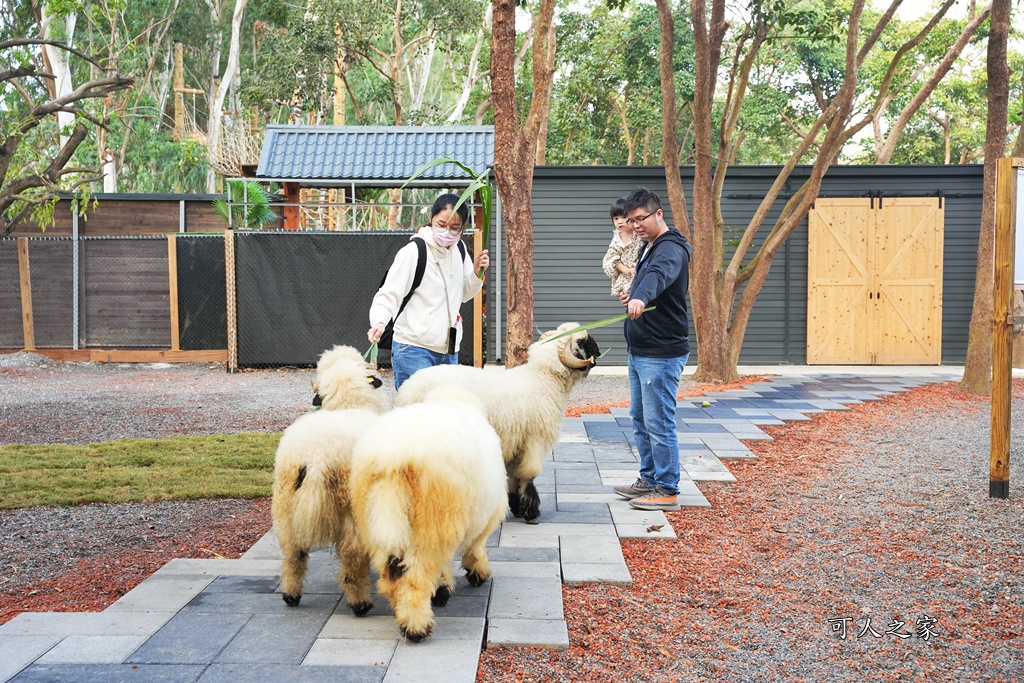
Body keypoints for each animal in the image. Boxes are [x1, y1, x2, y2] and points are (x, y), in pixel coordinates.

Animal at [270, 344, 385, 610]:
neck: (351, 406)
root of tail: (315, 457)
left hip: (285, 505)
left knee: (293, 554)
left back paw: (291, 595)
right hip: (350, 508)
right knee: (352, 555)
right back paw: (360, 604)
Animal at [393, 323, 598, 528]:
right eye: (581, 342)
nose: (598, 353)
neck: (543, 379)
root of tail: (407, 391)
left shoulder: (515, 442)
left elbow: (513, 477)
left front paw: (516, 507)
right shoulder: (535, 440)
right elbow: (528, 476)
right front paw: (531, 513)